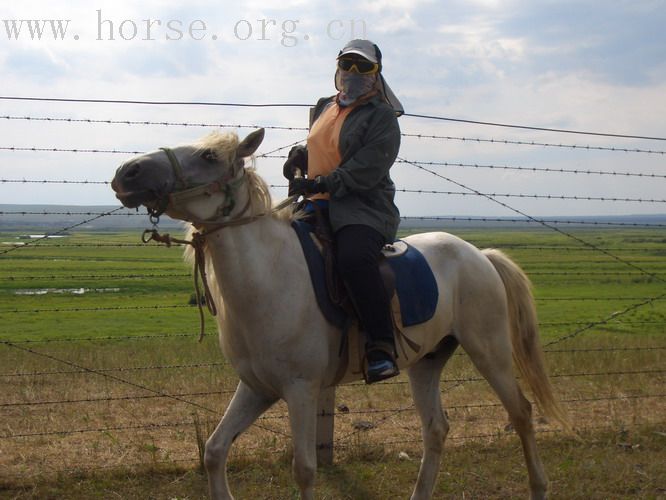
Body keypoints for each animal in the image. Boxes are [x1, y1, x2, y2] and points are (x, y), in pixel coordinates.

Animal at [113, 129, 564, 500]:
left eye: (208, 155)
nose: (126, 172)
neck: (269, 278)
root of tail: (479, 255)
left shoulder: (300, 389)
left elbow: (304, 470)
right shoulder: (257, 388)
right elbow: (214, 451)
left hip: (490, 351)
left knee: (522, 414)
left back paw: (539, 487)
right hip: (427, 362)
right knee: (436, 429)